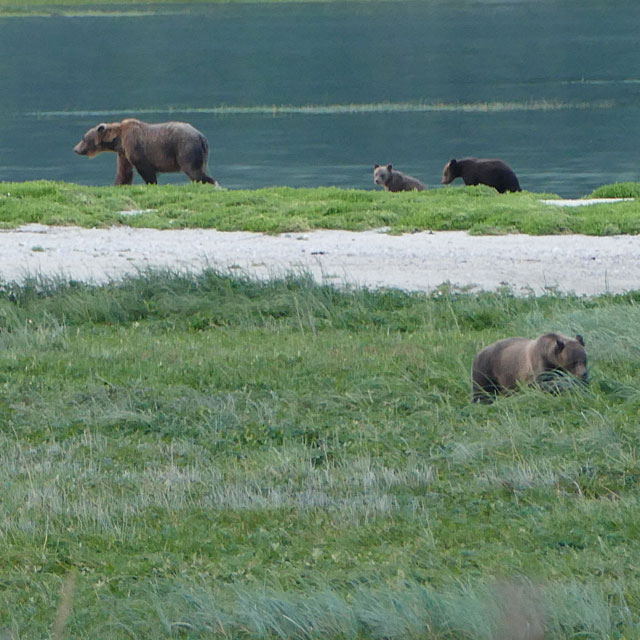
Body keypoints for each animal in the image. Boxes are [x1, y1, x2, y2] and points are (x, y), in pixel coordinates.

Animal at [74, 117, 219, 185]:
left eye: (83, 138)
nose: (75, 149)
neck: (119, 140)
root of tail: (201, 136)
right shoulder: (124, 152)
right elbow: (124, 173)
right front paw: (117, 184)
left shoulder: (135, 146)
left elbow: (146, 170)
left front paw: (151, 183)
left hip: (185, 148)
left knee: (194, 171)